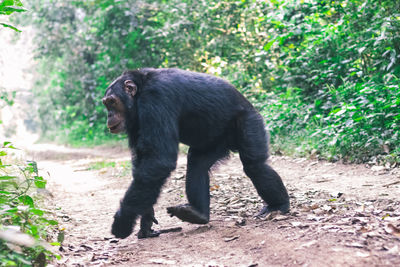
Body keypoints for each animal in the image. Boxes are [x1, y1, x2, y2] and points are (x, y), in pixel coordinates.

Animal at [103, 68, 290, 240]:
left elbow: (159, 160)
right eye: (106, 104)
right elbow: (144, 163)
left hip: (250, 121)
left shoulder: (155, 99)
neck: (140, 91)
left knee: (255, 166)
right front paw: (146, 219)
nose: (109, 115)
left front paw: (123, 221)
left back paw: (278, 205)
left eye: (112, 102)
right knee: (197, 163)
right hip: (215, 142)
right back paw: (198, 213)